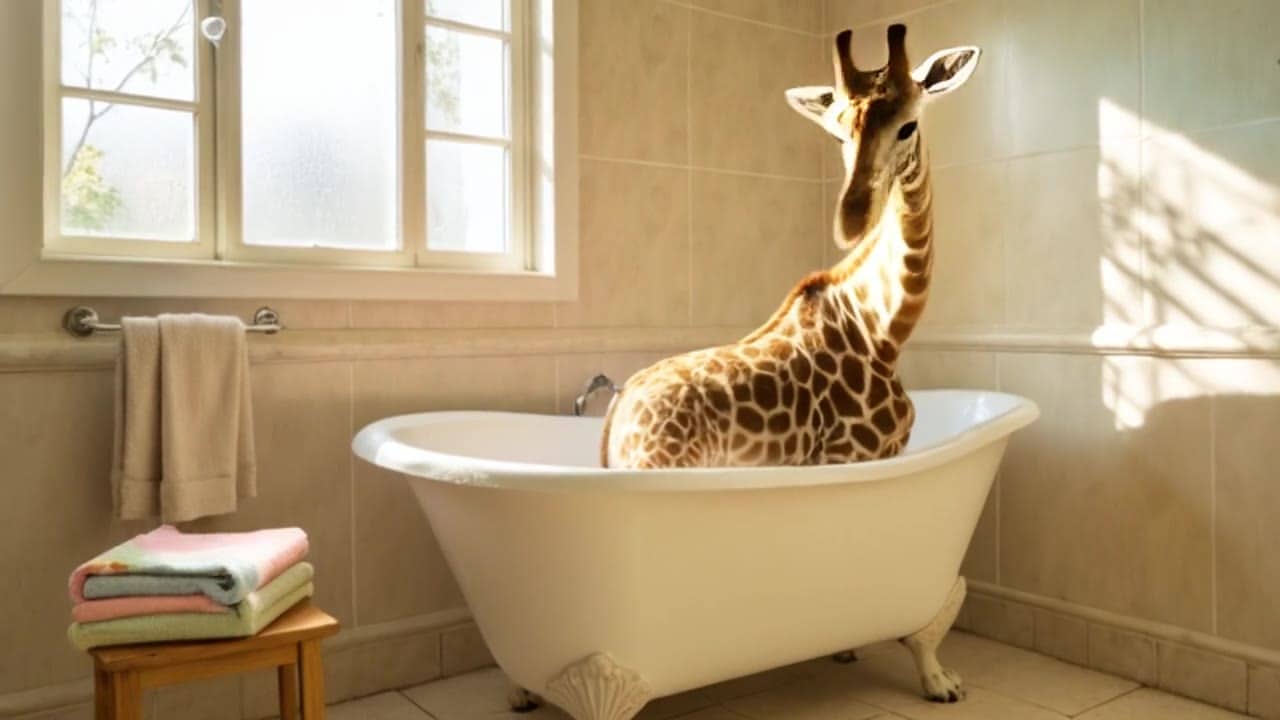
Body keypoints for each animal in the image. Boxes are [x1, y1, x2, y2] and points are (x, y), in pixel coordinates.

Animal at [600, 24, 981, 473]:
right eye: (836, 134)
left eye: (908, 125)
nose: (850, 221)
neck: (884, 330)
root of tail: (613, 426)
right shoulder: (847, 456)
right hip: (661, 463)